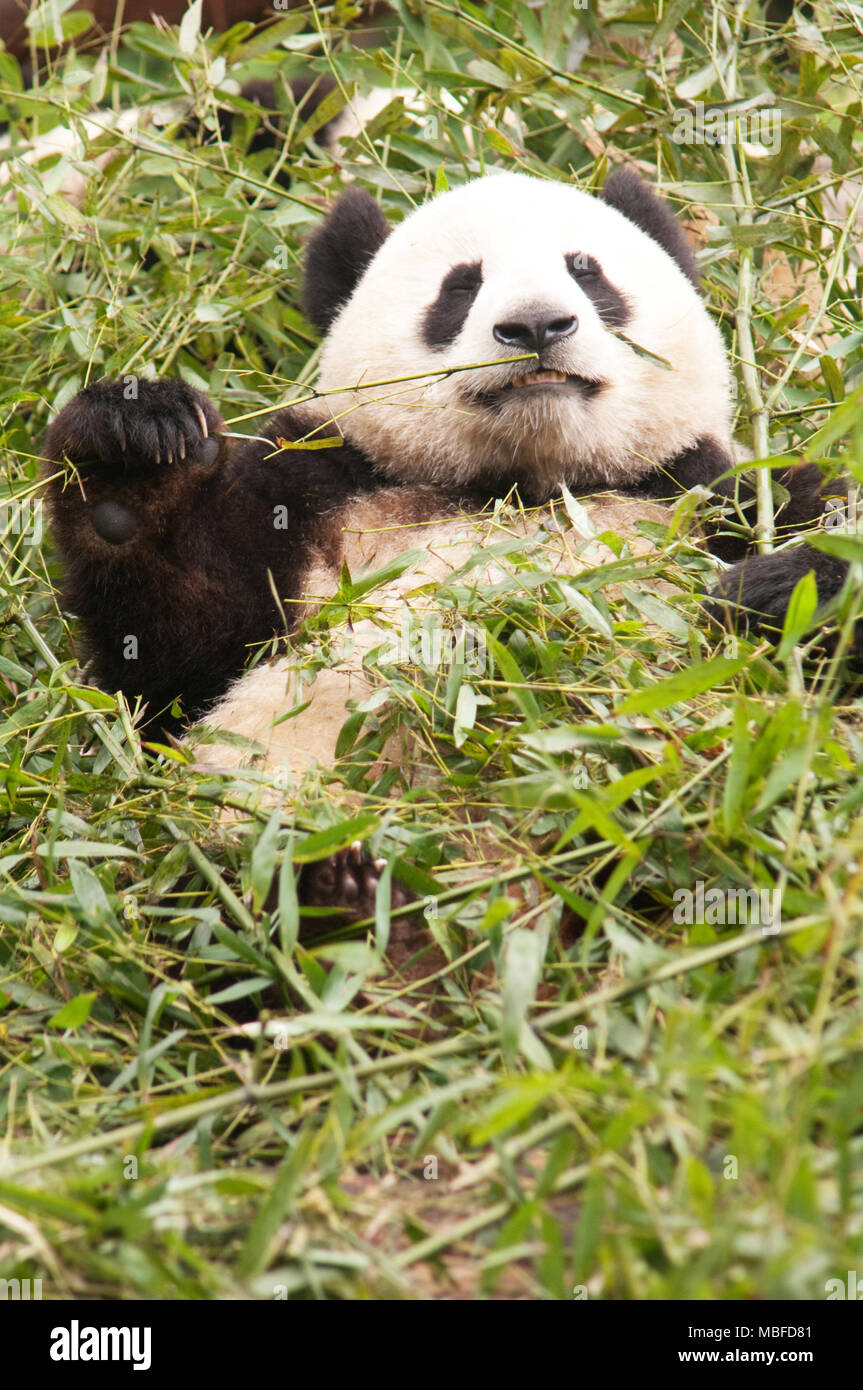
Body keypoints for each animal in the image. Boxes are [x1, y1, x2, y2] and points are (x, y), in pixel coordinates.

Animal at [40, 165, 850, 911]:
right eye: (459, 288)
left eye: (587, 272)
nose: (536, 327)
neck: (523, 485)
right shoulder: (324, 493)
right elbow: (178, 659)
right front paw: (133, 456)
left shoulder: (704, 496)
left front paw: (777, 591)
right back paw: (340, 889)